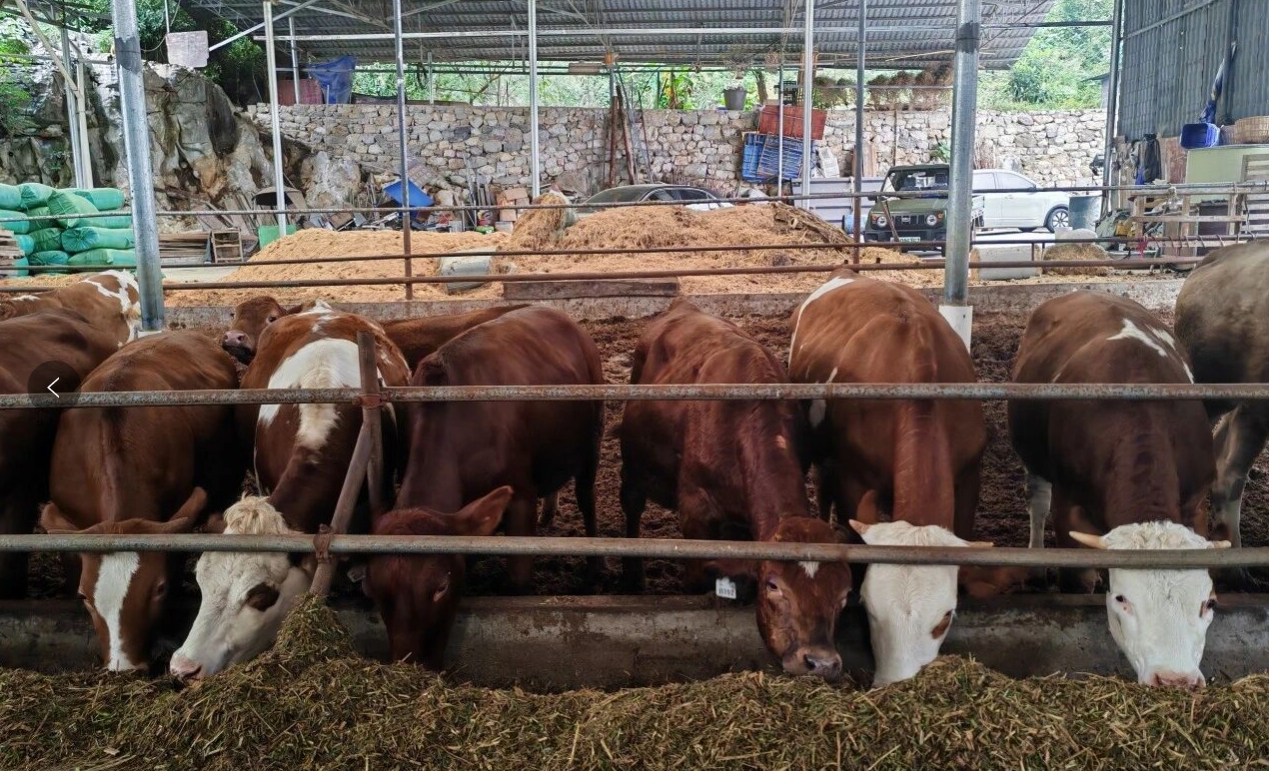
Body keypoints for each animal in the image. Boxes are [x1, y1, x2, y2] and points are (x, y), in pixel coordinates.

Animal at [363, 307, 603, 666]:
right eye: (375, 592)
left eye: (441, 587)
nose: (412, 665)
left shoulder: (520, 497)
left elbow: (517, 581)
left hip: (592, 441)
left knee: (587, 498)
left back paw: (594, 568)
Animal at [619, 299, 851, 681]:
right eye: (773, 584)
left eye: (844, 593)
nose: (821, 662)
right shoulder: (695, 512)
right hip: (634, 467)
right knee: (631, 509)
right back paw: (632, 576)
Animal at [1009, 291, 1221, 687]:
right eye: (1123, 599)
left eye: (1208, 602)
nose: (1175, 680)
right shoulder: (1070, 505)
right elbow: (1077, 580)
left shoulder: (1197, 498)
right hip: (1031, 454)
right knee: (1037, 500)